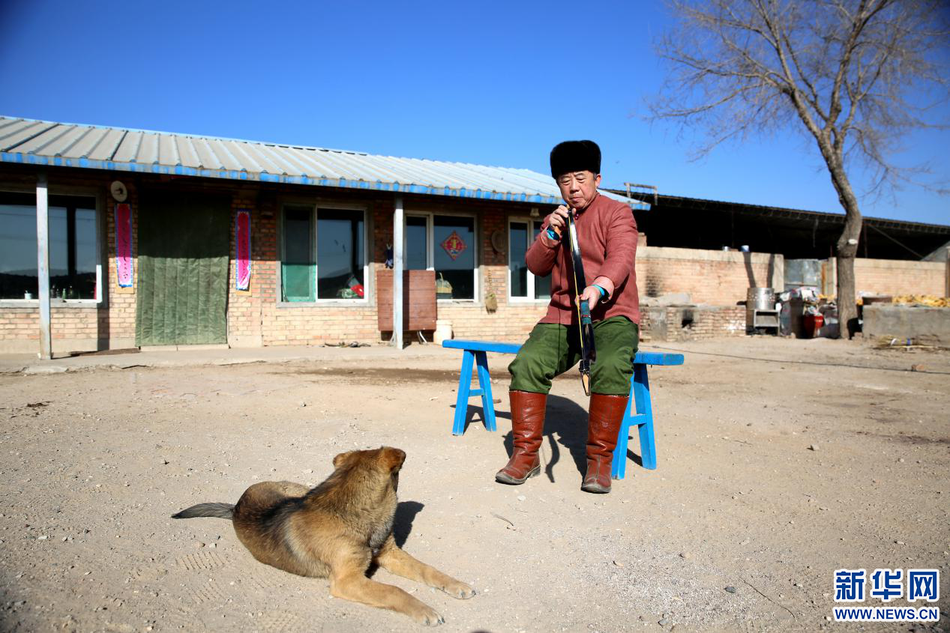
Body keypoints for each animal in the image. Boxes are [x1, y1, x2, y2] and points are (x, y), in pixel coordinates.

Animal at [172, 446, 476, 624]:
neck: (352, 514)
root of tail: (236, 506)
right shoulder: (347, 580)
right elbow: (394, 590)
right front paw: (425, 610)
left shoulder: (390, 553)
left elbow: (428, 570)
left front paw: (456, 585)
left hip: (299, 490)